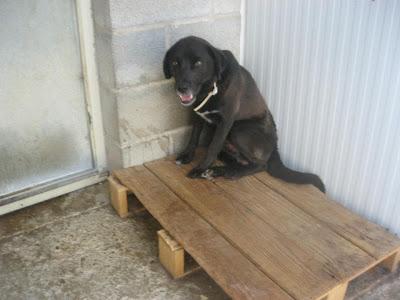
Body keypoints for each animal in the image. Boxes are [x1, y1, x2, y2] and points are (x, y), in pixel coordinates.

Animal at [162, 36, 324, 193]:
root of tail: (275, 147)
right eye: (175, 63)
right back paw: (220, 170)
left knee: (261, 165)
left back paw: (229, 172)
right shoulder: (197, 114)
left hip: (238, 130)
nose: (182, 88)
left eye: (198, 63)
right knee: (238, 160)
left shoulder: (226, 121)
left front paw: (200, 168)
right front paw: (187, 156)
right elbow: (193, 137)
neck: (211, 88)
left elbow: (213, 147)